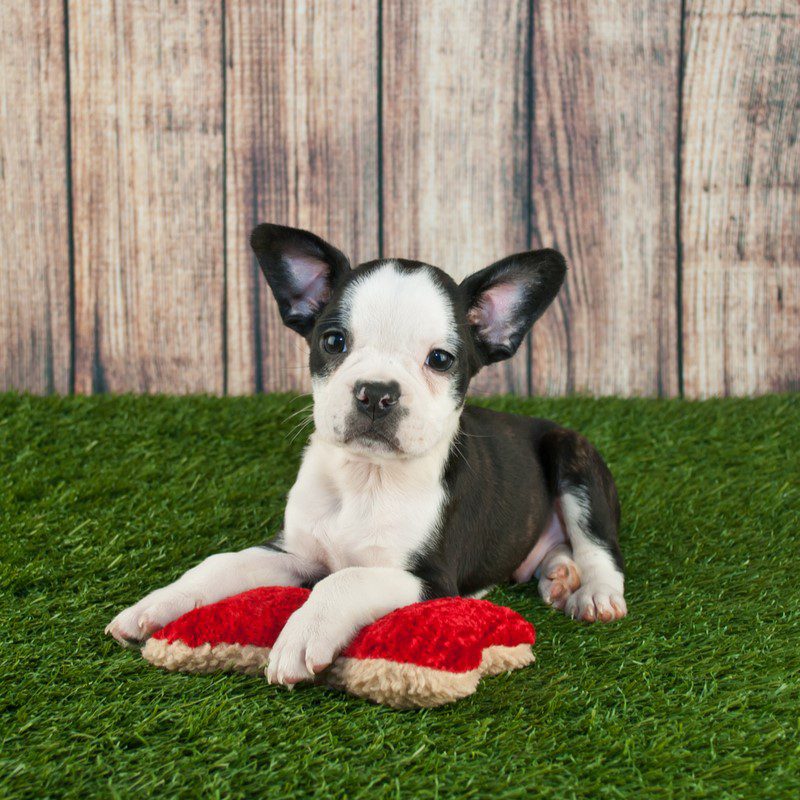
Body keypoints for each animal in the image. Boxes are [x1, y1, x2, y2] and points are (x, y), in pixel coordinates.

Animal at [108, 227, 624, 688]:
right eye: (334, 342)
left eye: (440, 360)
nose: (376, 392)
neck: (366, 478)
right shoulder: (293, 552)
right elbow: (221, 564)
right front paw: (155, 605)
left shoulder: (430, 580)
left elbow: (345, 581)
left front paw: (301, 635)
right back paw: (558, 573)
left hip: (573, 459)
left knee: (599, 545)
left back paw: (594, 592)